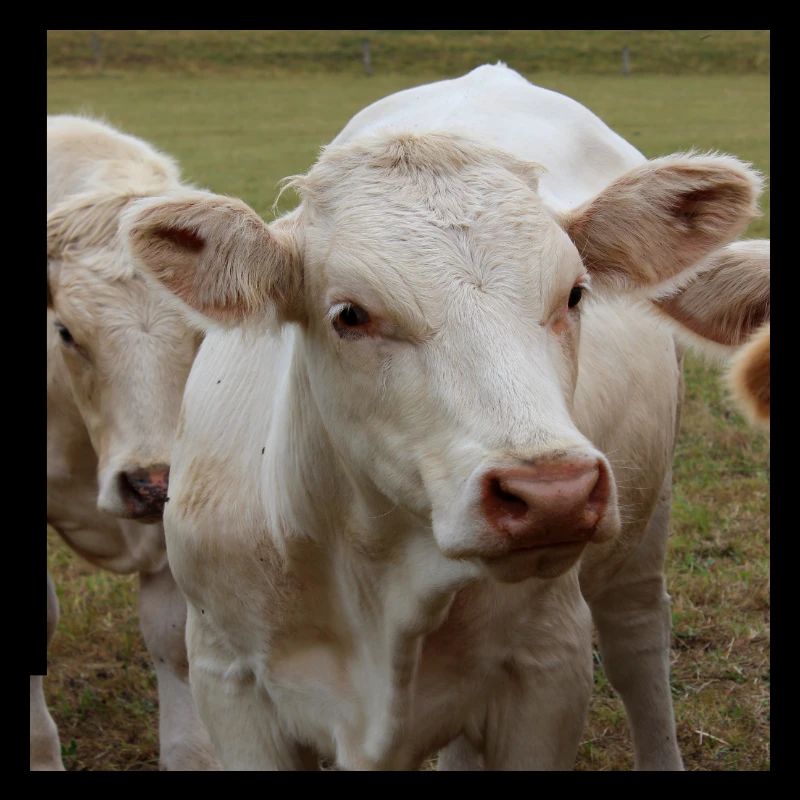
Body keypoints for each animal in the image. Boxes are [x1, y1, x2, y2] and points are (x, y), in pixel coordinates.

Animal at [122, 64, 768, 770]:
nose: (554, 494)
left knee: (638, 646)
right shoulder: (226, 675)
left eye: (575, 294)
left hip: (642, 530)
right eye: (350, 314)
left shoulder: (549, 666)